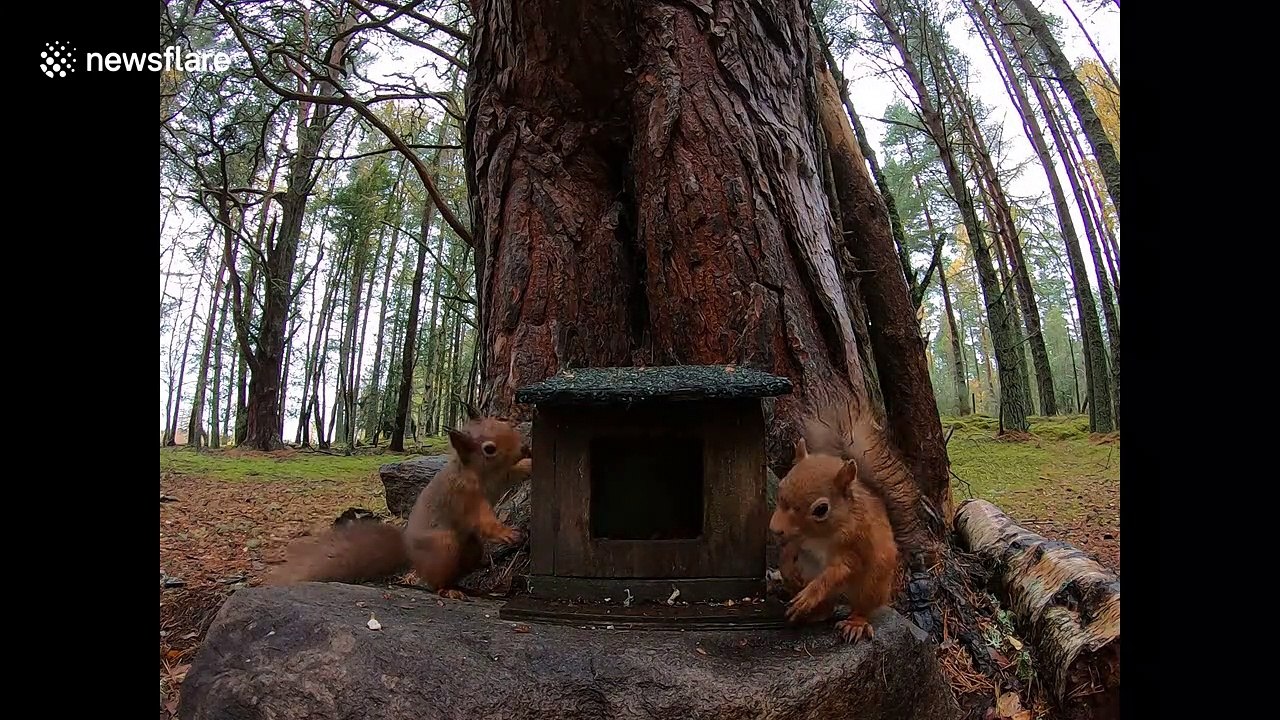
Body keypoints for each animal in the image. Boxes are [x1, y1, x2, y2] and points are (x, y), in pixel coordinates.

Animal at [264, 406, 531, 600]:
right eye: (489, 449)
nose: (524, 447)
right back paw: (448, 590)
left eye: (502, 422)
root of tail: (409, 552)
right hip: (443, 547)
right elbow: (483, 520)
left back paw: (468, 585)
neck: (479, 472)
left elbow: (516, 472)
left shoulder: (503, 476)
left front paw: (531, 462)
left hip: (471, 548)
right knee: (434, 580)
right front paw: (508, 533)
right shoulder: (465, 497)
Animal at [769, 411, 900, 643]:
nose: (774, 529)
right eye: (781, 486)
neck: (818, 536)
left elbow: (838, 570)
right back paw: (809, 613)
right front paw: (785, 565)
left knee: (862, 607)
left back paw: (855, 623)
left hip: (872, 584)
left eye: (821, 509)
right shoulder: (797, 539)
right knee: (827, 608)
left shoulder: (854, 544)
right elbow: (791, 547)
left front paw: (809, 594)